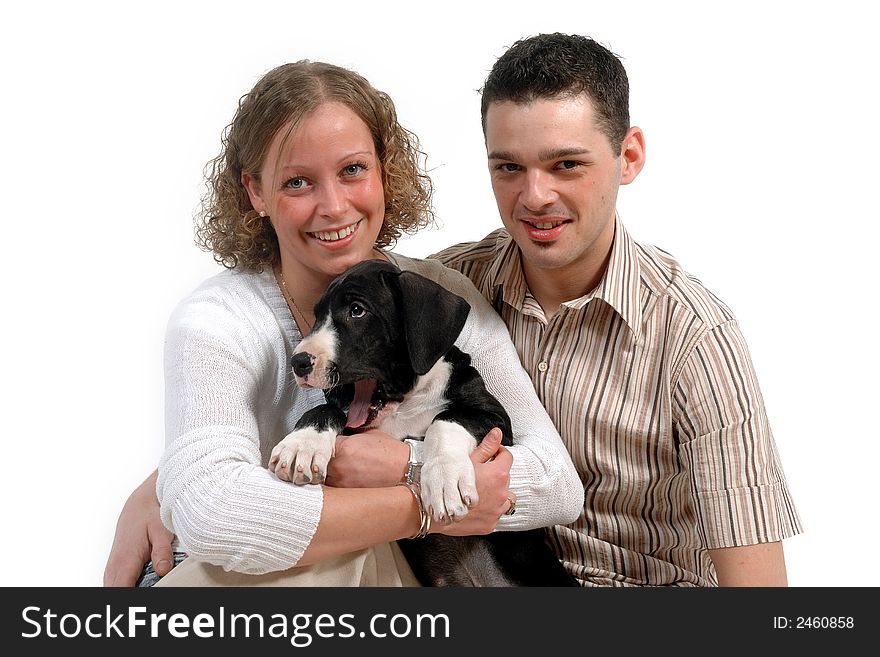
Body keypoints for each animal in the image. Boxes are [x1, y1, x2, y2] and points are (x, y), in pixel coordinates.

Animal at [268, 258, 576, 588]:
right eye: (317, 315)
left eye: (357, 310)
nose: (299, 362)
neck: (405, 403)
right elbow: (325, 409)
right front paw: (302, 445)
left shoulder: (495, 420)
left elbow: (445, 419)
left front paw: (444, 479)